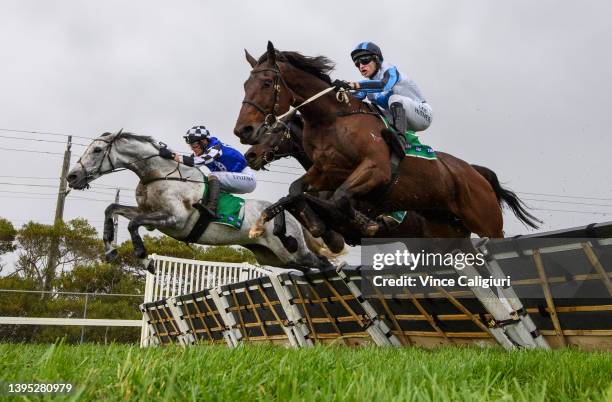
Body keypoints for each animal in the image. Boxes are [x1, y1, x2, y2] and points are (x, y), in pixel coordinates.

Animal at [234, 41, 540, 239]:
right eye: (245, 85)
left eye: (266, 83)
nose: (244, 132)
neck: (332, 120)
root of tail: (475, 173)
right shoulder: (327, 172)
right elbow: (295, 191)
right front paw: (270, 223)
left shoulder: (375, 169)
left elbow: (338, 199)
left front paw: (363, 223)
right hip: (447, 229)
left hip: (487, 223)